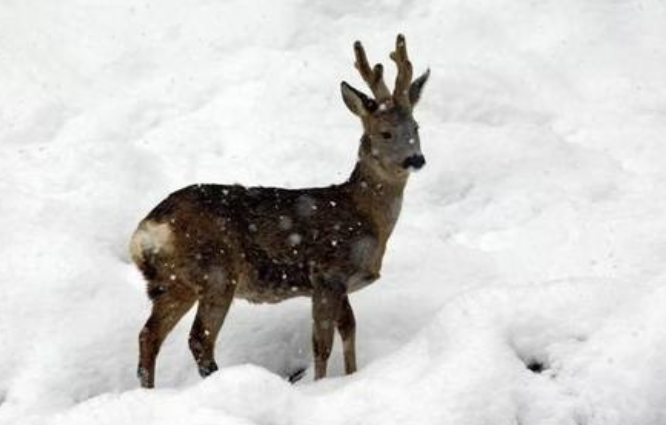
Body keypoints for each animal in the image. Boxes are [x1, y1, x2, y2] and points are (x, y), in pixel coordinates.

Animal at [128, 35, 430, 388]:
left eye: (417, 127)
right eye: (385, 132)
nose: (416, 159)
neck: (365, 215)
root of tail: (146, 231)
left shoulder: (340, 284)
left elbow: (349, 330)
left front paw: (351, 376)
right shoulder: (327, 273)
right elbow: (322, 343)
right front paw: (321, 385)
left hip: (176, 283)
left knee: (149, 336)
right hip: (216, 272)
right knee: (198, 339)